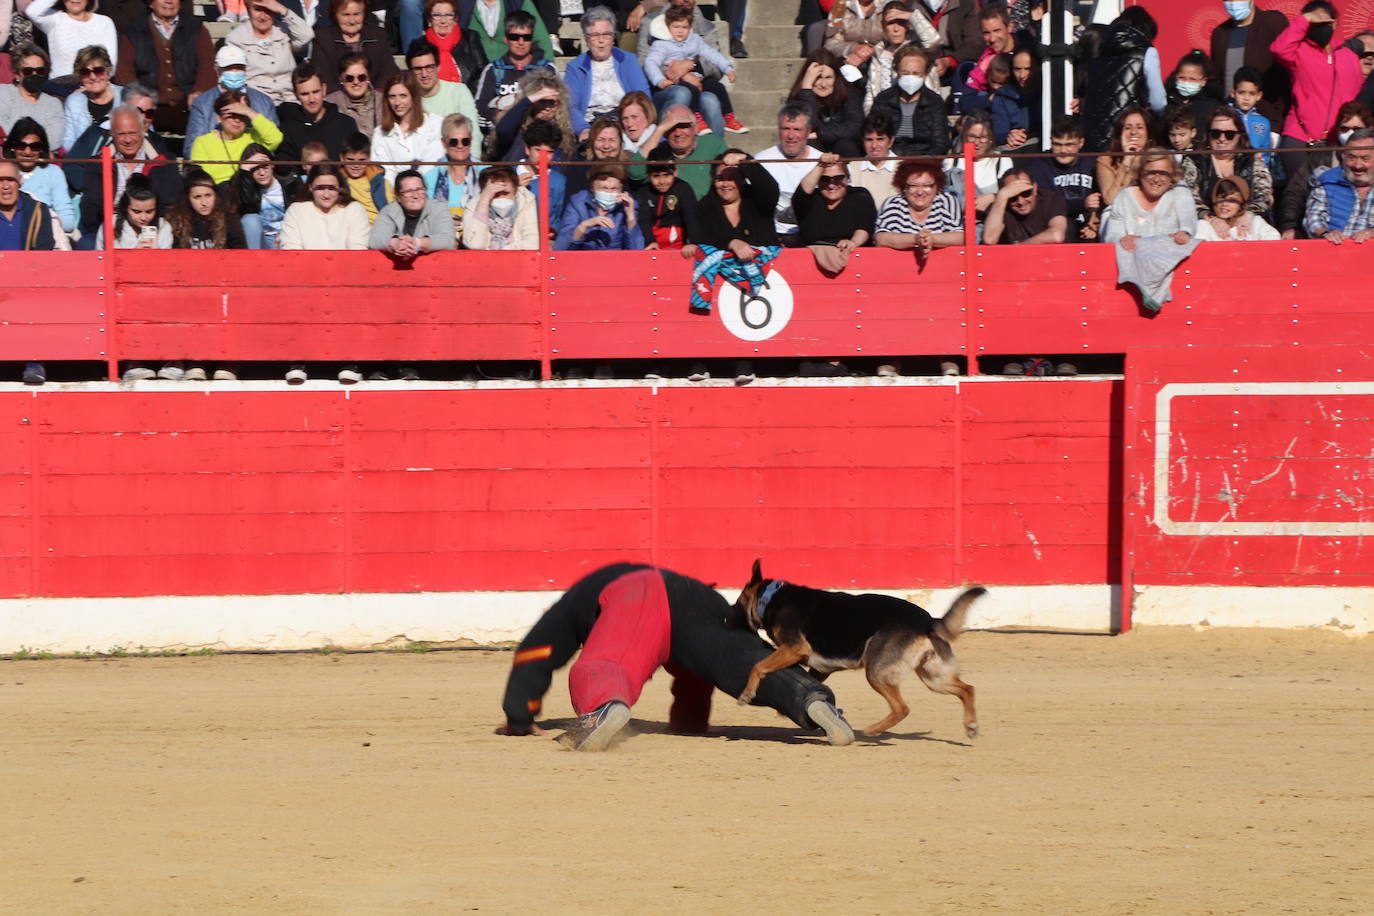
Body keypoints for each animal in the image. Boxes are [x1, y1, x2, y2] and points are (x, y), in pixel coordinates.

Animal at [730, 563, 989, 741]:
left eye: (739, 602)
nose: (725, 618)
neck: (771, 599)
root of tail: (928, 621)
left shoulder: (794, 648)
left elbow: (758, 666)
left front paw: (747, 694)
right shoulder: (820, 667)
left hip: (877, 672)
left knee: (902, 708)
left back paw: (872, 731)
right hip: (933, 677)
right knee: (968, 689)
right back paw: (971, 726)